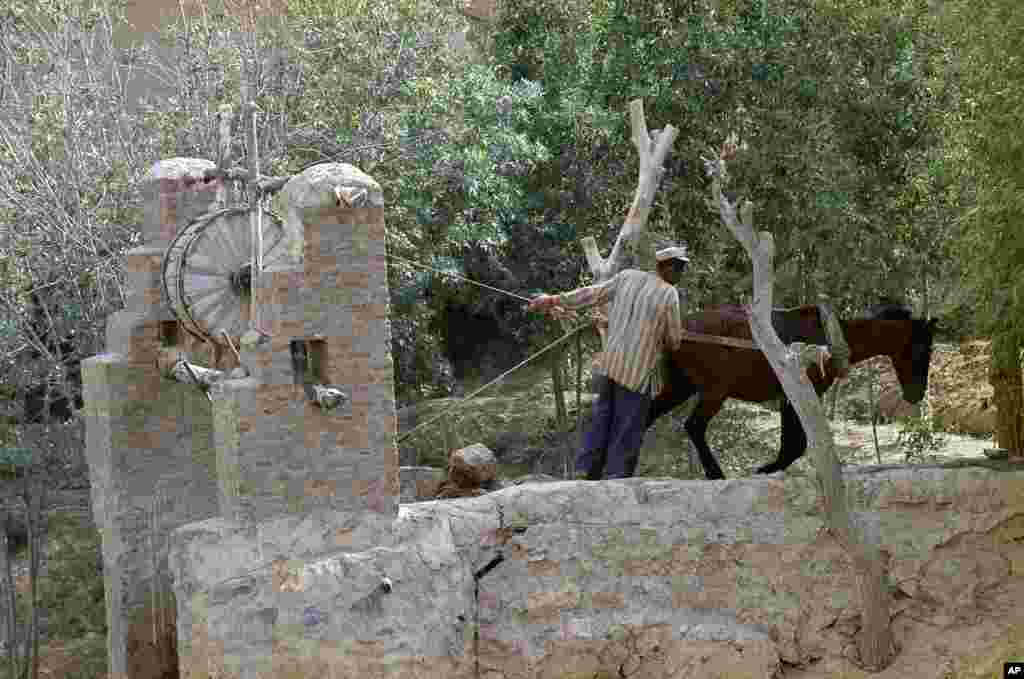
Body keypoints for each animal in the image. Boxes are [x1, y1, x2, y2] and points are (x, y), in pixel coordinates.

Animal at [643, 301, 937, 481]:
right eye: (922, 350)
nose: (916, 395)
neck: (830, 338)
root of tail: (677, 329)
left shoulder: (788, 396)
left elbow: (791, 446)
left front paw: (767, 468)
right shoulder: (803, 392)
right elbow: (794, 447)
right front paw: (763, 469)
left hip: (681, 386)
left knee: (650, 417)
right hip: (714, 390)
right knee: (694, 425)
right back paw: (716, 473)